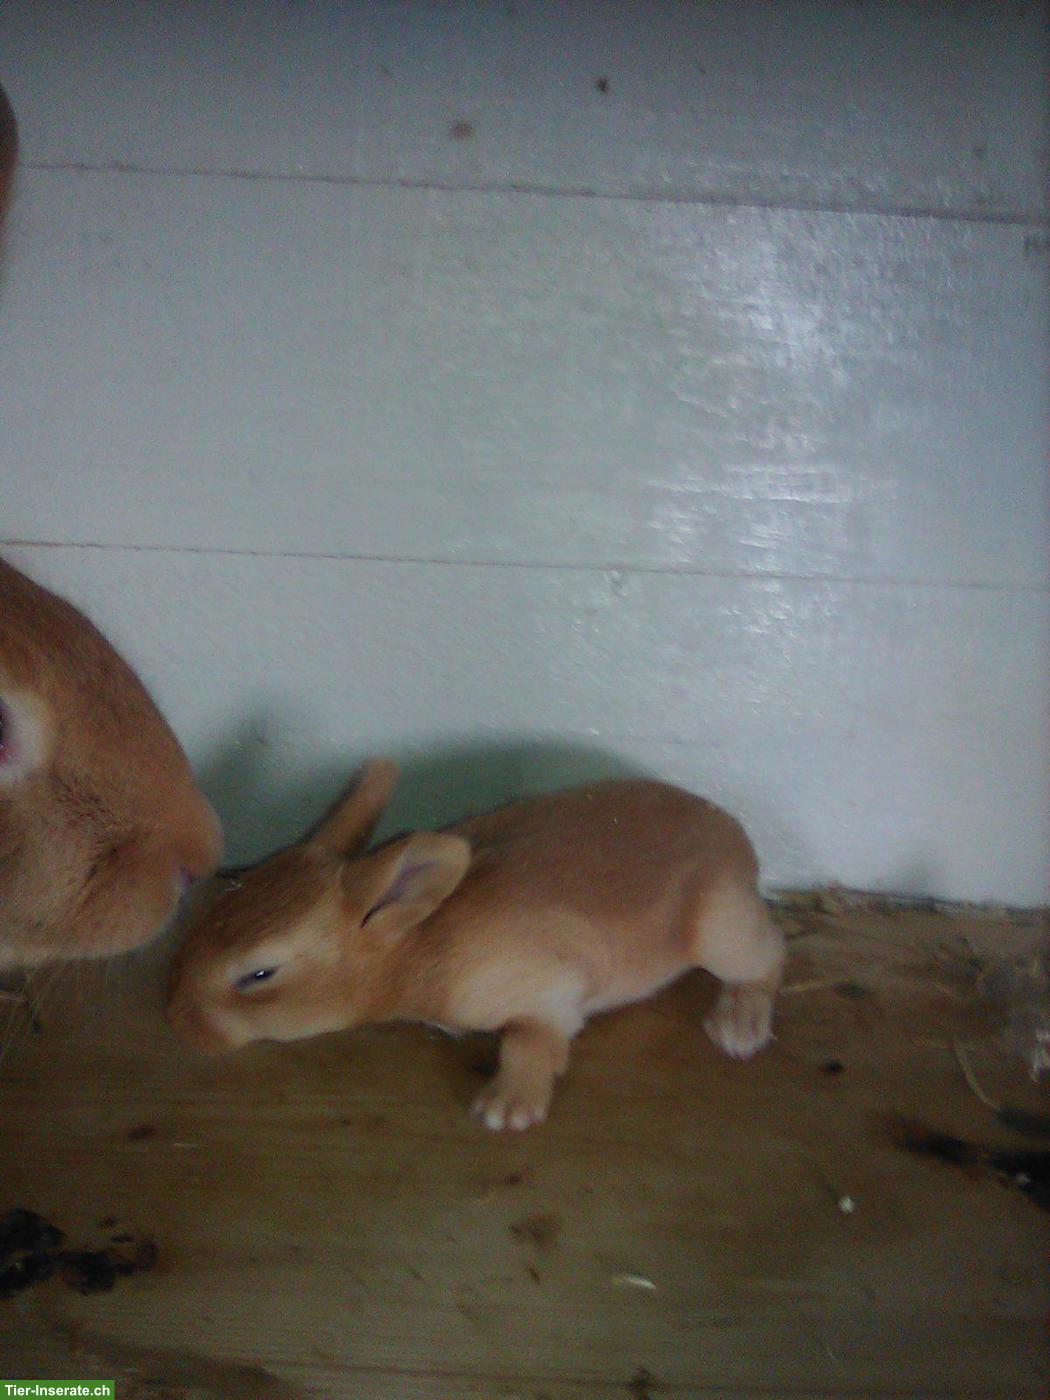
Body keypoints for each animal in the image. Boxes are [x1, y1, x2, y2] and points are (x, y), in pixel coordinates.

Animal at [167, 761, 784, 1131]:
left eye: (259, 975)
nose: (178, 1021)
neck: (414, 947)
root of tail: (737, 838)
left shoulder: (547, 994)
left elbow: (532, 1042)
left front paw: (506, 1109)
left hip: (719, 931)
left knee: (769, 957)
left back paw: (738, 1025)